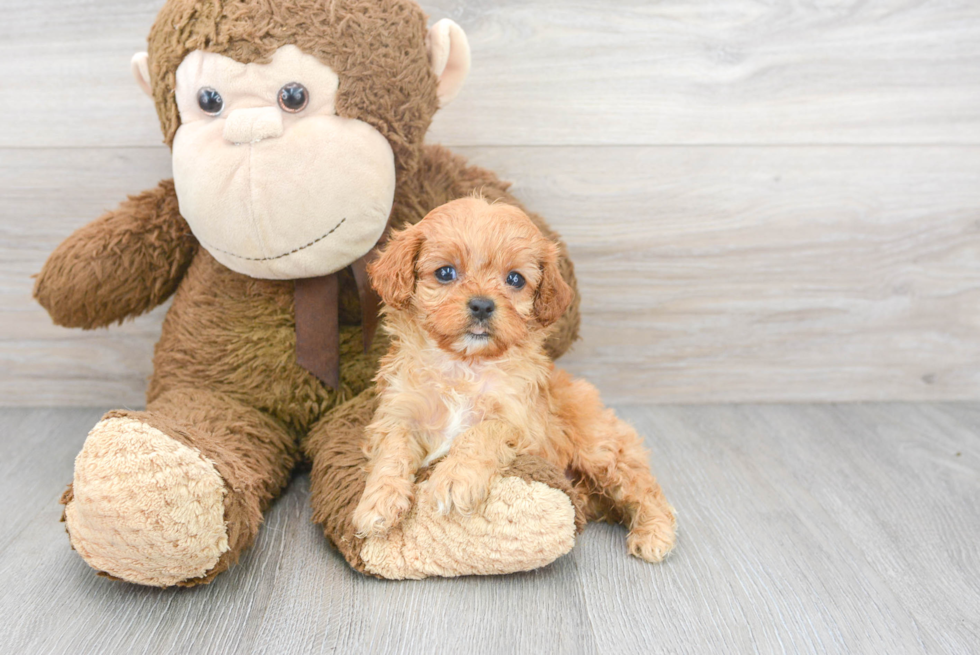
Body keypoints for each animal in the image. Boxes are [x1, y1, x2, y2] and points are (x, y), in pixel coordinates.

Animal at [356, 196, 676, 564]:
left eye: (515, 279)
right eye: (445, 273)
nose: (482, 305)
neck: (464, 364)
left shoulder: (522, 423)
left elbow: (481, 432)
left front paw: (454, 478)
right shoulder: (398, 413)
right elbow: (392, 451)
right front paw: (378, 501)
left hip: (602, 449)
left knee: (643, 487)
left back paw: (654, 533)